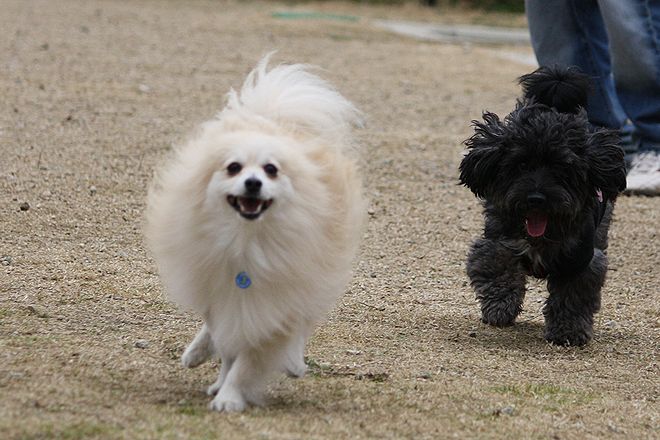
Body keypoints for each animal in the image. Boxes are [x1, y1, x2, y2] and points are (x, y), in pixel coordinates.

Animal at [145, 55, 365, 411]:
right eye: (234, 167)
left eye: (271, 170)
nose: (252, 183)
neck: (247, 240)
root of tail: (271, 118)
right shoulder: (227, 294)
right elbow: (228, 347)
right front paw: (222, 384)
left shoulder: (276, 302)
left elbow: (249, 360)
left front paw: (230, 396)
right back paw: (198, 355)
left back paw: (292, 362)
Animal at [459, 66, 626, 346]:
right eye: (521, 165)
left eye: (562, 169)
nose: (536, 198)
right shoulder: (497, 240)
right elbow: (498, 266)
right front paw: (500, 306)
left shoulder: (582, 261)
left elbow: (573, 296)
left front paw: (568, 332)